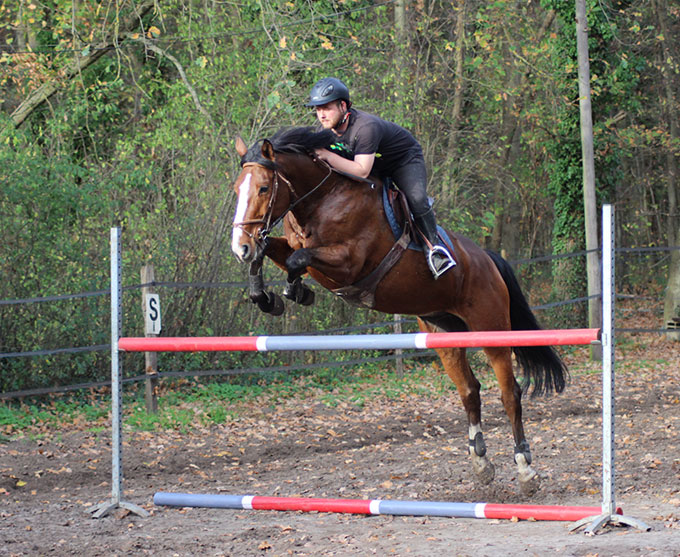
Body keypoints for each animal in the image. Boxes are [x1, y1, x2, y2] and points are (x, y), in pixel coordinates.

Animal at [231, 124, 564, 494]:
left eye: (263, 187)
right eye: (237, 189)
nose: (239, 246)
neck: (321, 199)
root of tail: (488, 259)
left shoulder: (348, 263)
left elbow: (296, 259)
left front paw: (293, 290)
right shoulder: (298, 248)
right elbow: (274, 253)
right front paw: (268, 297)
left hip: (490, 328)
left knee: (509, 394)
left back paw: (525, 470)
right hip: (443, 332)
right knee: (469, 391)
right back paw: (480, 464)